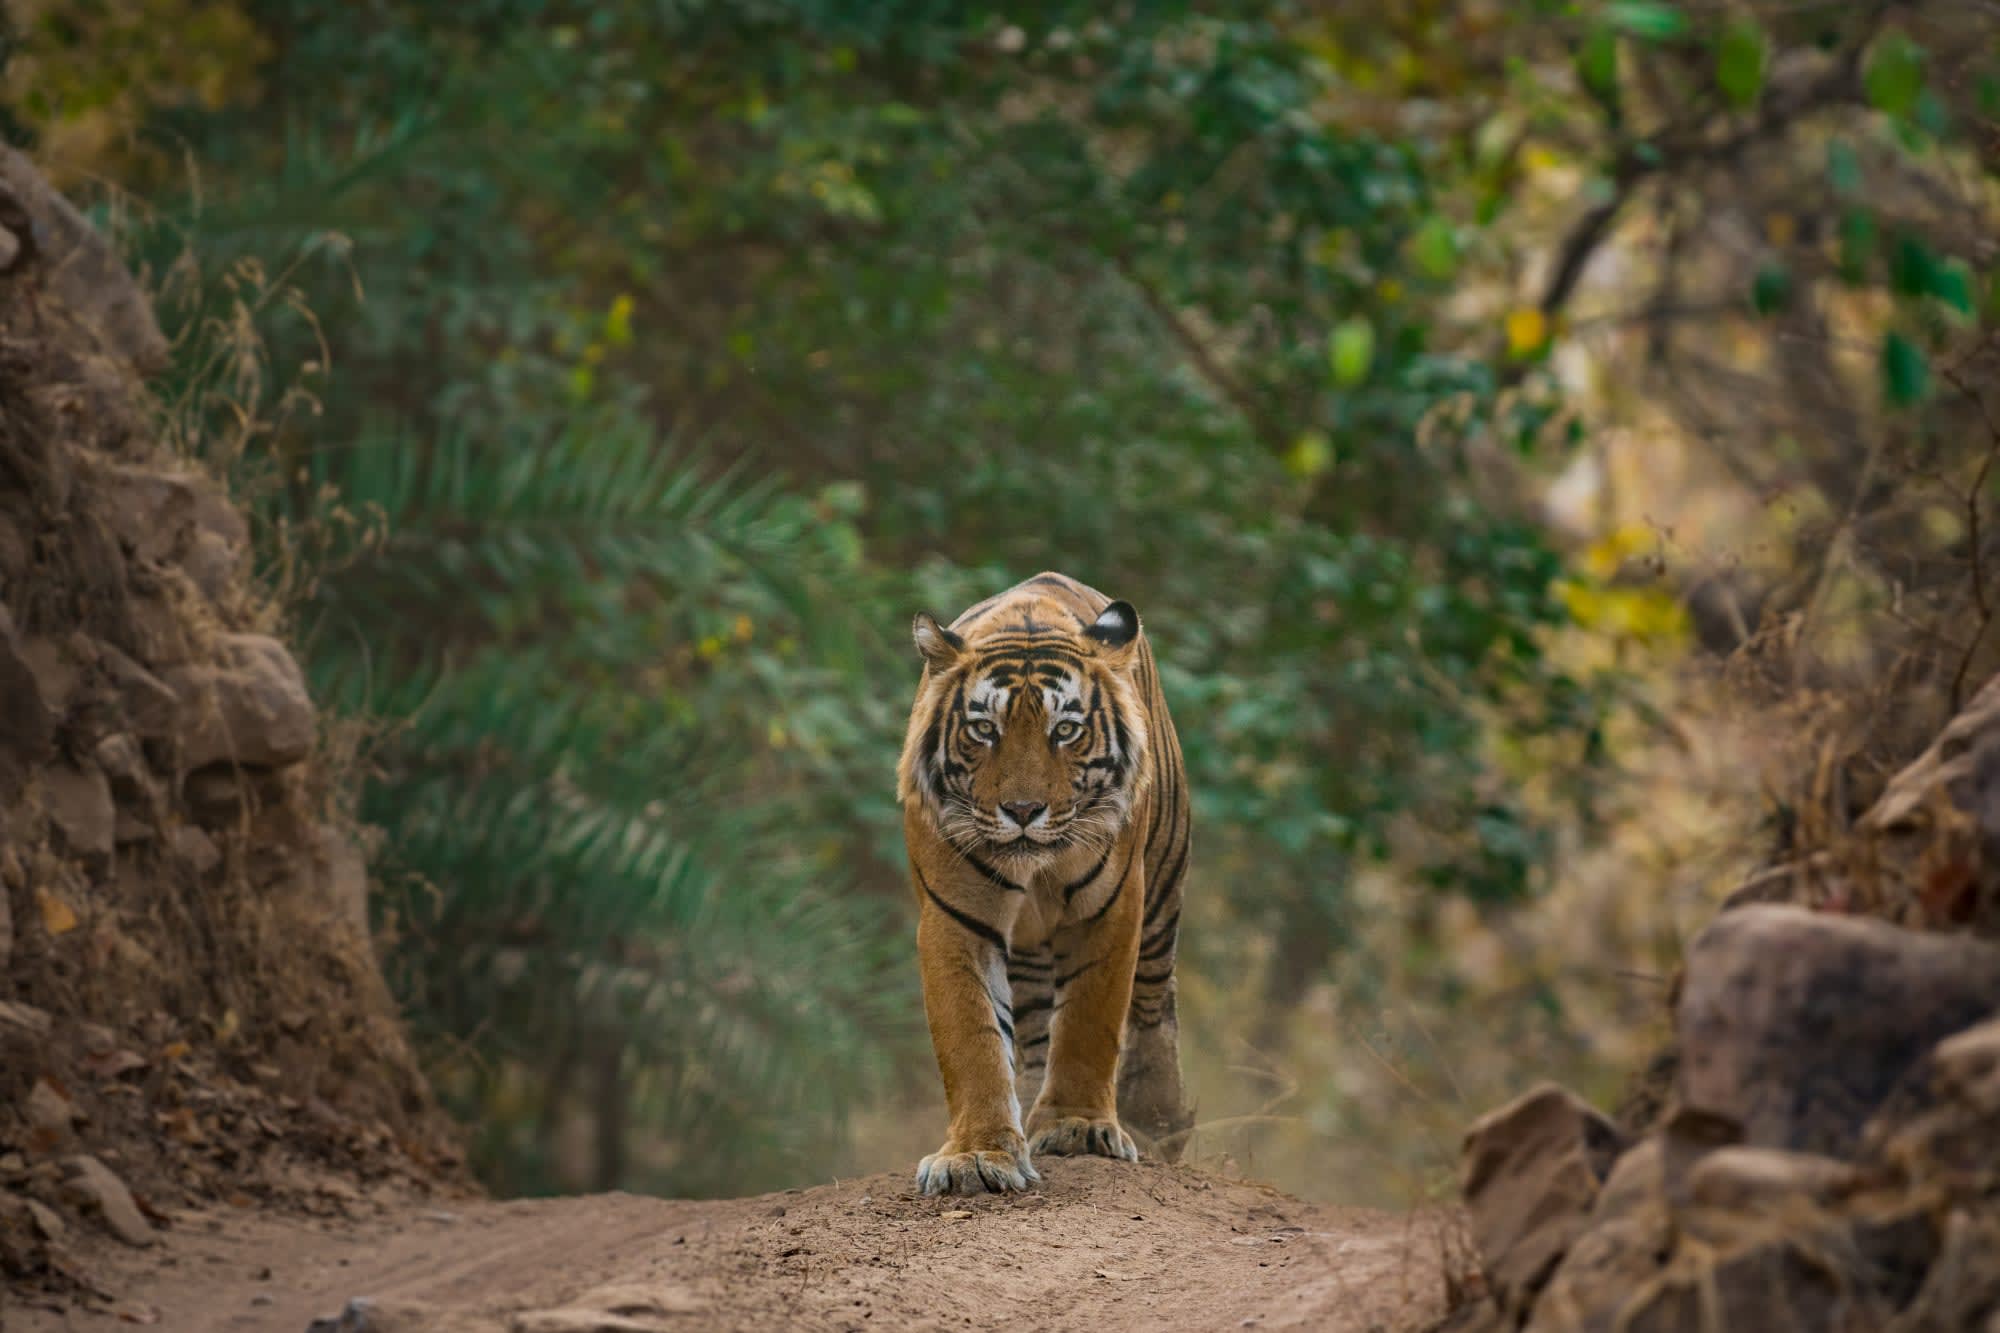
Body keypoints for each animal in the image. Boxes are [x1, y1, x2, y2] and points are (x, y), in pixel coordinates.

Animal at [897, 570, 1193, 1195]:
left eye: (1066, 730)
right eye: (984, 729)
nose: (1023, 810)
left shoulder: (1111, 910)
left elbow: (1089, 1021)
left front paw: (1079, 1129)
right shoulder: (954, 918)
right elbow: (974, 1037)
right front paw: (978, 1155)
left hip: (1162, 893)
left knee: (1154, 1002)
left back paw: (1157, 1122)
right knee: (1033, 1032)